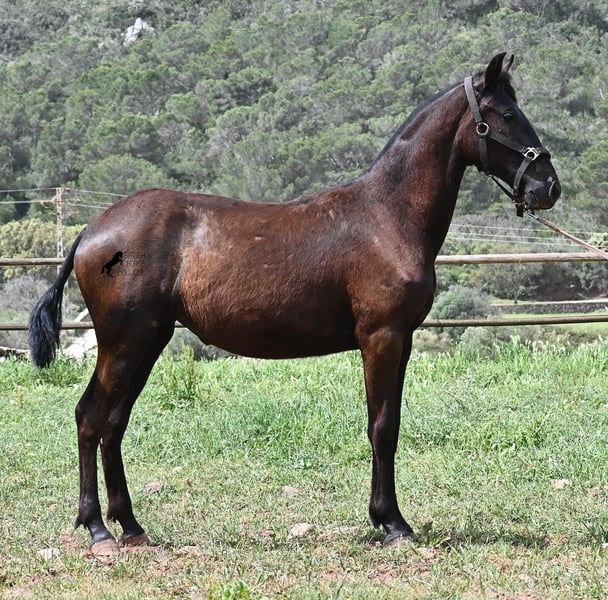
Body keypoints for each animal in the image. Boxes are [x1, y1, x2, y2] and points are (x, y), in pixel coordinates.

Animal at [29, 53, 561, 555]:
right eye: (508, 114)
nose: (548, 186)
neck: (387, 216)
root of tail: (91, 231)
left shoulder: (402, 341)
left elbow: (389, 424)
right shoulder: (382, 338)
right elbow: (382, 427)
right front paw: (392, 523)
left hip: (147, 341)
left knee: (113, 424)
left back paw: (131, 525)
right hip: (124, 342)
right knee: (91, 417)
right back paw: (97, 528)